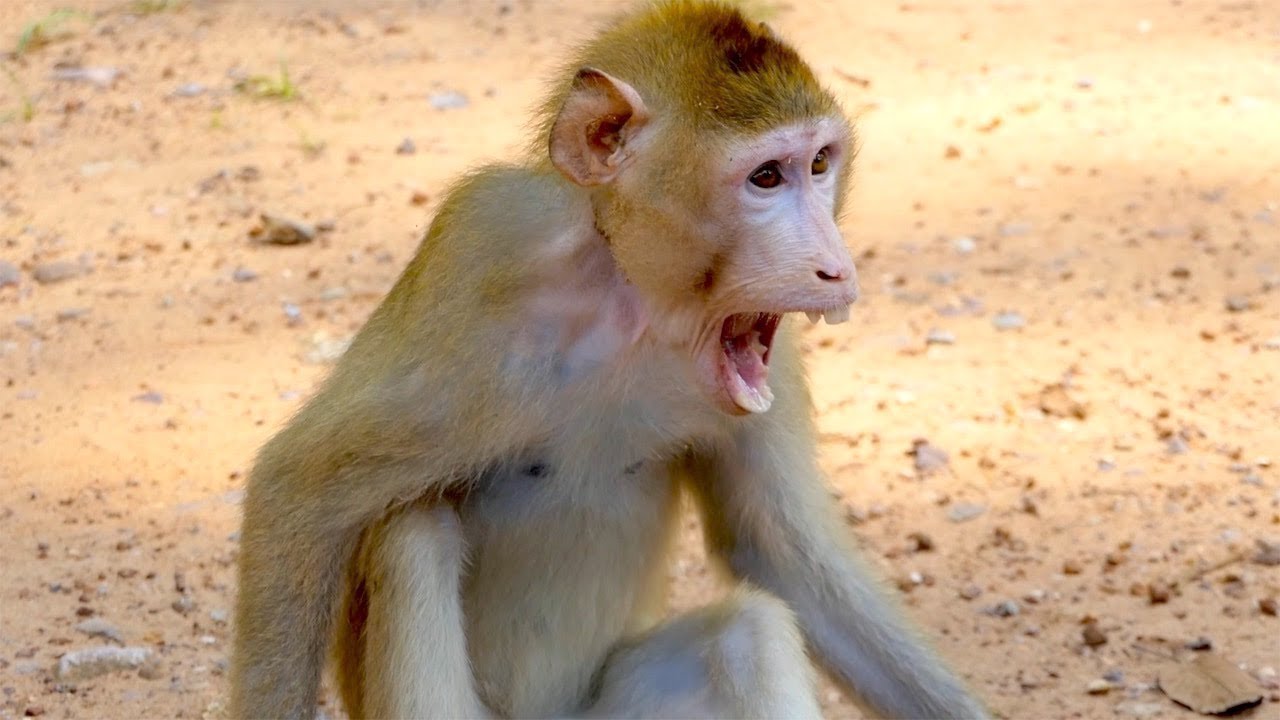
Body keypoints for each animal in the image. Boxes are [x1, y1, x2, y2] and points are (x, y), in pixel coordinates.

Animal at [230, 2, 992, 719]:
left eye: (821, 164)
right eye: (767, 177)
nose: (837, 266)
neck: (634, 298)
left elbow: (774, 553)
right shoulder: (485, 242)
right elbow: (297, 489)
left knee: (747, 634)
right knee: (411, 529)